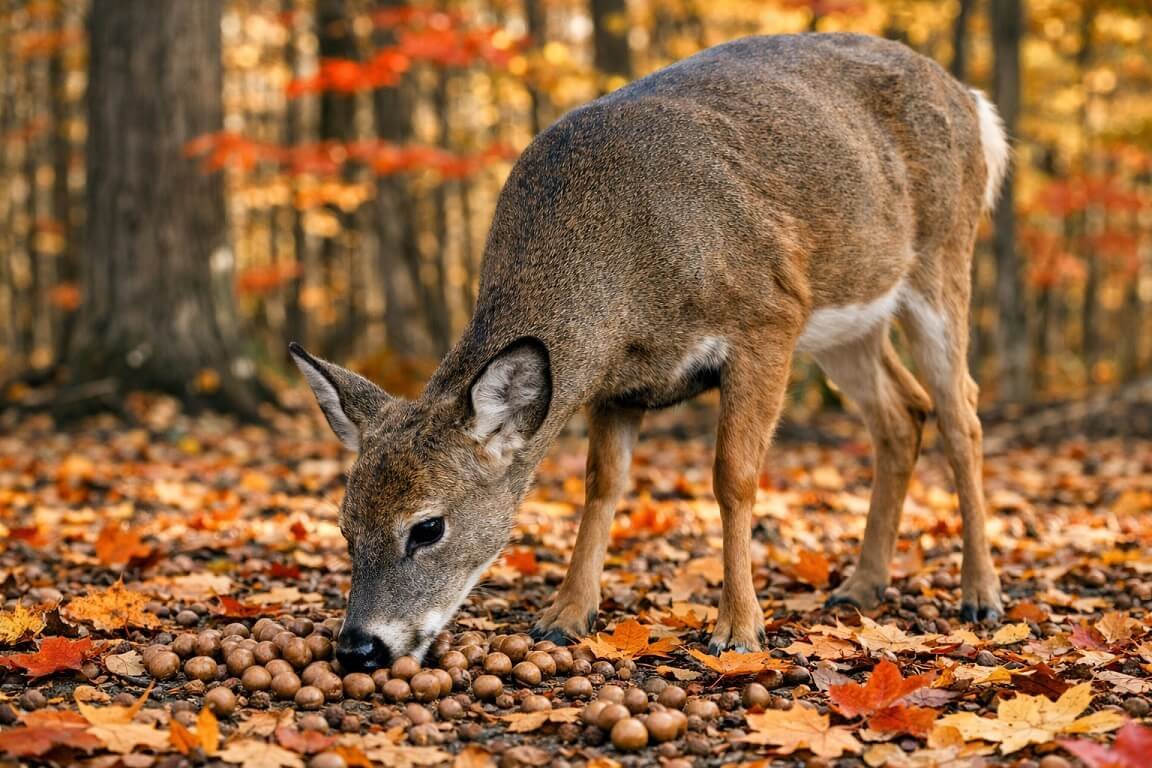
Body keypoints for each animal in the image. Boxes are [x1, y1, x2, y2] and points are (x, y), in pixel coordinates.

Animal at [290, 32, 1010, 672]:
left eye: (427, 527)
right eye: (345, 525)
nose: (359, 648)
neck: (628, 282)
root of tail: (974, 103)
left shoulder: (767, 317)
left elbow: (733, 477)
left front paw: (738, 630)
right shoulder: (618, 383)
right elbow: (601, 484)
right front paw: (565, 615)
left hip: (943, 258)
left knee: (962, 413)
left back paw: (981, 595)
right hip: (849, 320)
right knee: (902, 413)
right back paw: (860, 586)